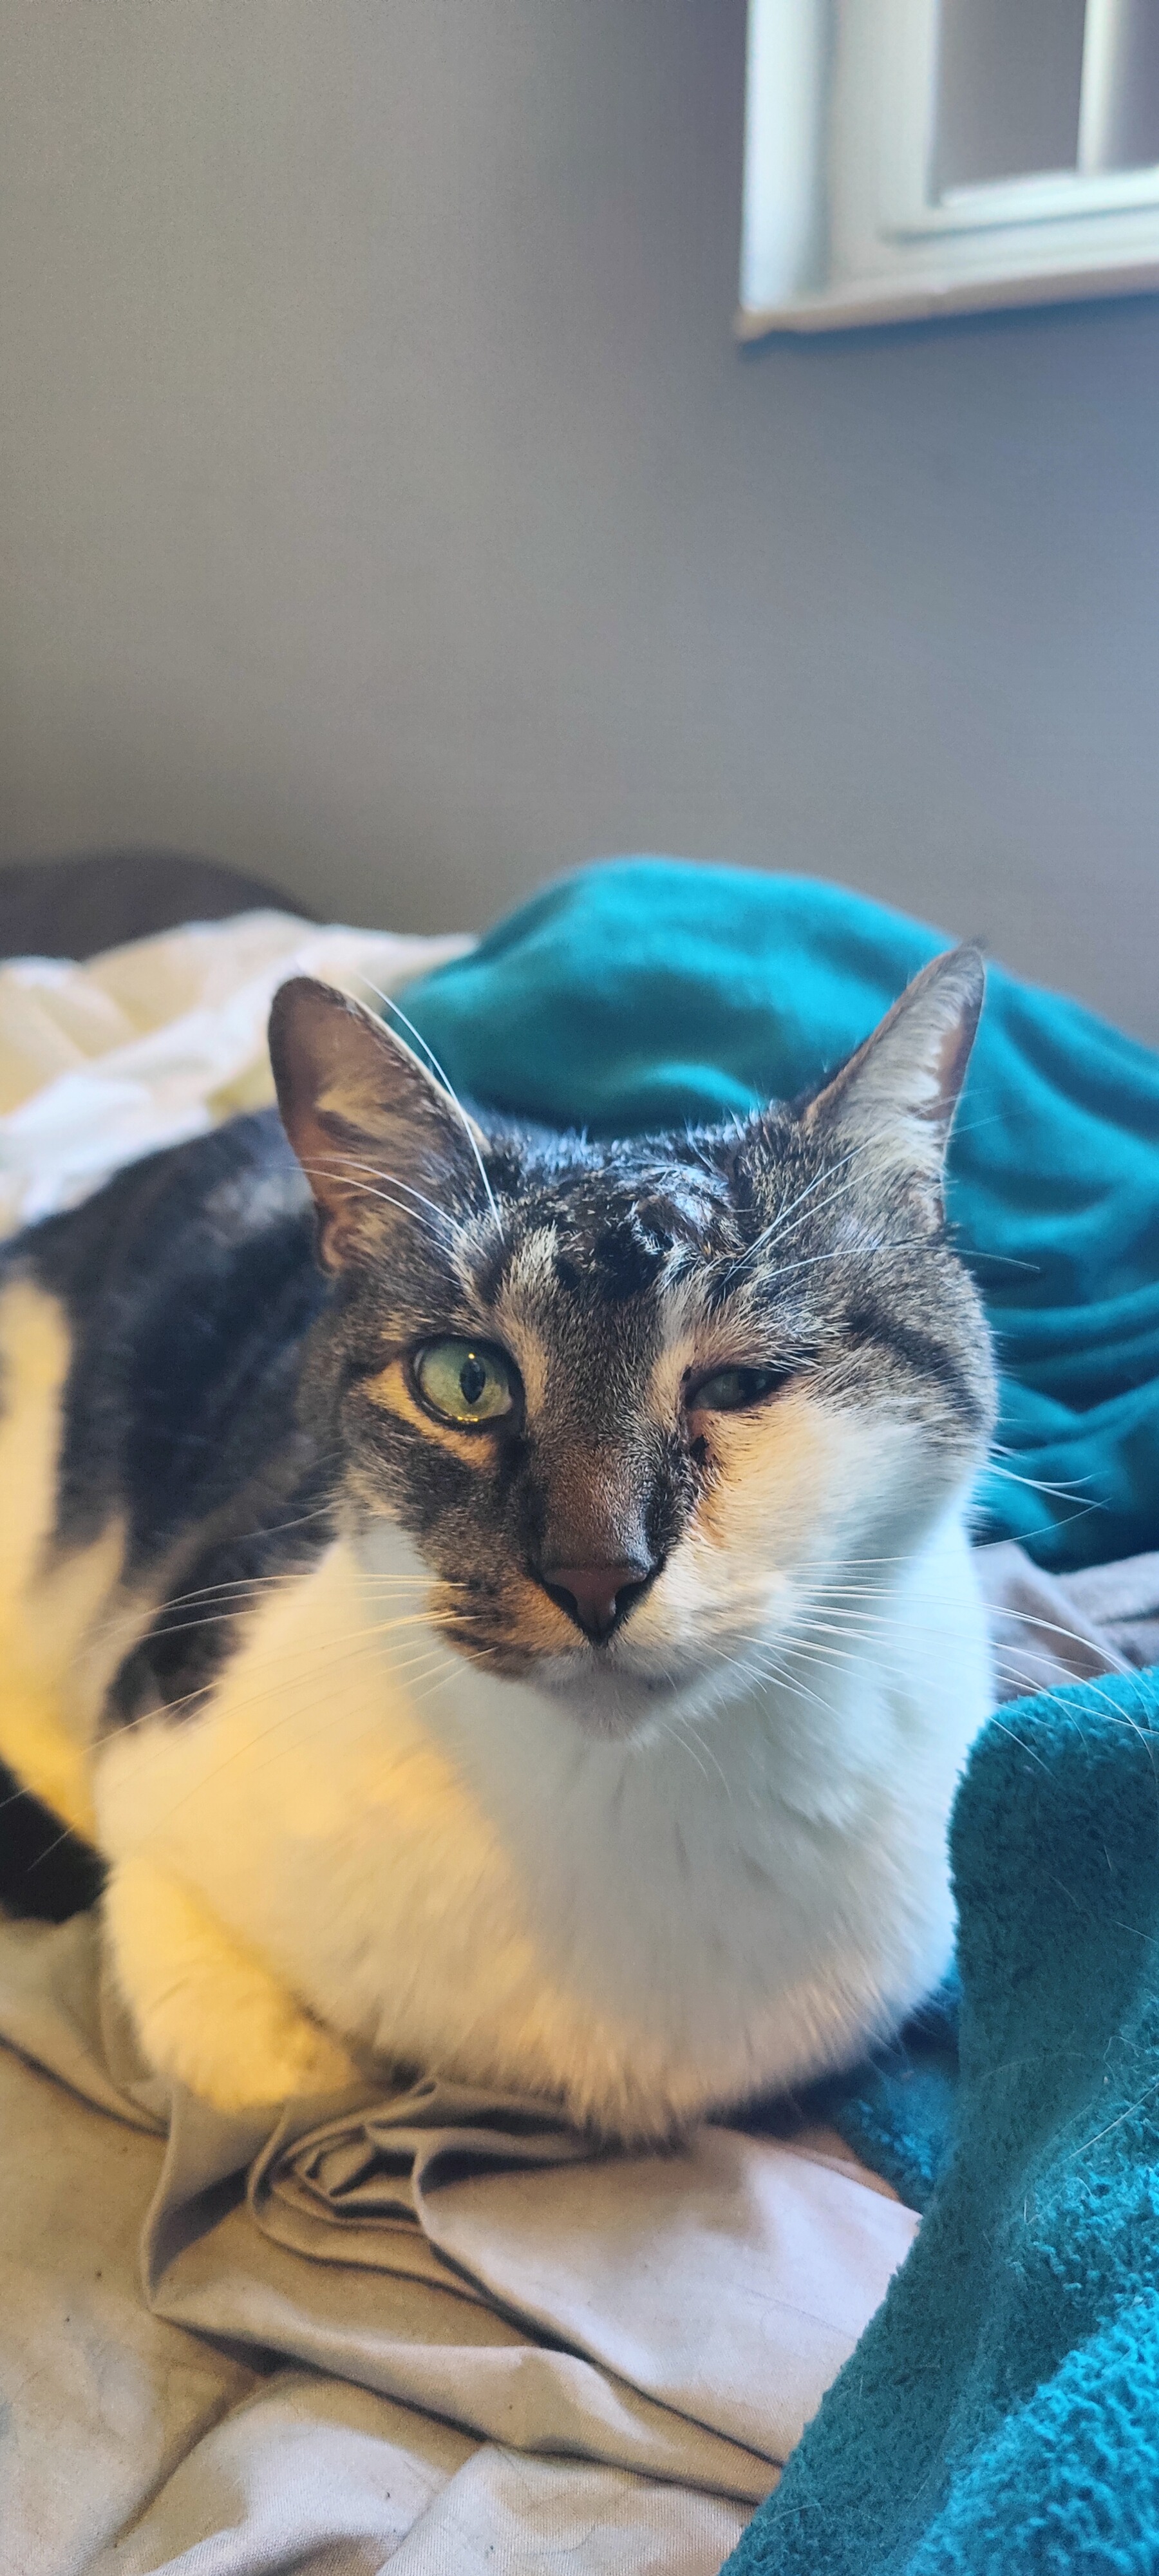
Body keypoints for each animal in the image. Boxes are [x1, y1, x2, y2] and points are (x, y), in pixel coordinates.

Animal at [0, 945, 995, 2138]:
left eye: (742, 1383)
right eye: (465, 1380)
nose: (595, 1573)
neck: (615, 1817)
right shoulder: (160, 1724)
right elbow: (259, 2064)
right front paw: (310, 2060)